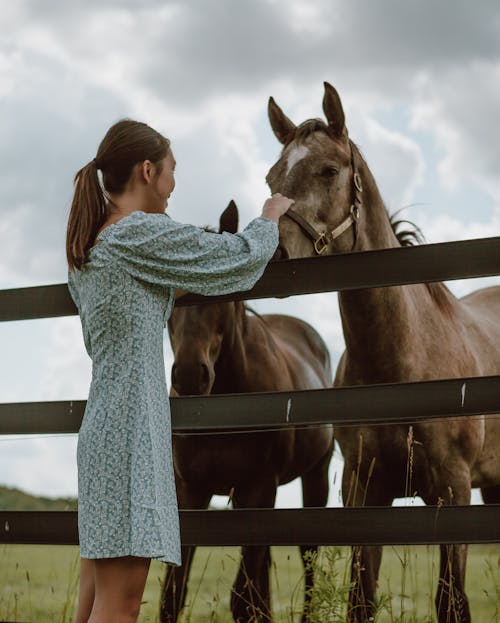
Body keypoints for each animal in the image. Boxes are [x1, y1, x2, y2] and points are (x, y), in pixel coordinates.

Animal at [158, 202, 334, 620]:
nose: (190, 376)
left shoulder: (258, 487)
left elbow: (246, 597)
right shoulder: (191, 491)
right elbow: (174, 591)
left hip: (314, 475)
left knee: (307, 557)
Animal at [266, 83, 500, 623]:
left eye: (328, 170)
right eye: (272, 175)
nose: (273, 254)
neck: (401, 366)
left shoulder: (453, 493)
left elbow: (451, 602)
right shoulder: (363, 492)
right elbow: (362, 597)